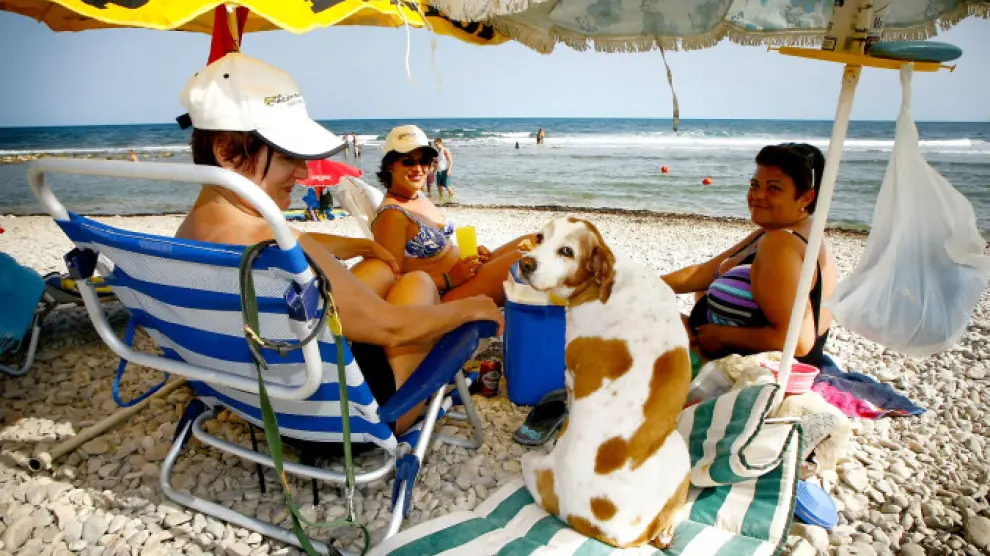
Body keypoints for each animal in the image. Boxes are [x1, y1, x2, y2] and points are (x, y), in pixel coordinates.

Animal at [516, 217, 692, 548]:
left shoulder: (570, 376)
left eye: (567, 251)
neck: (603, 283)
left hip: (677, 445)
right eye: (540, 237)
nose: (525, 264)